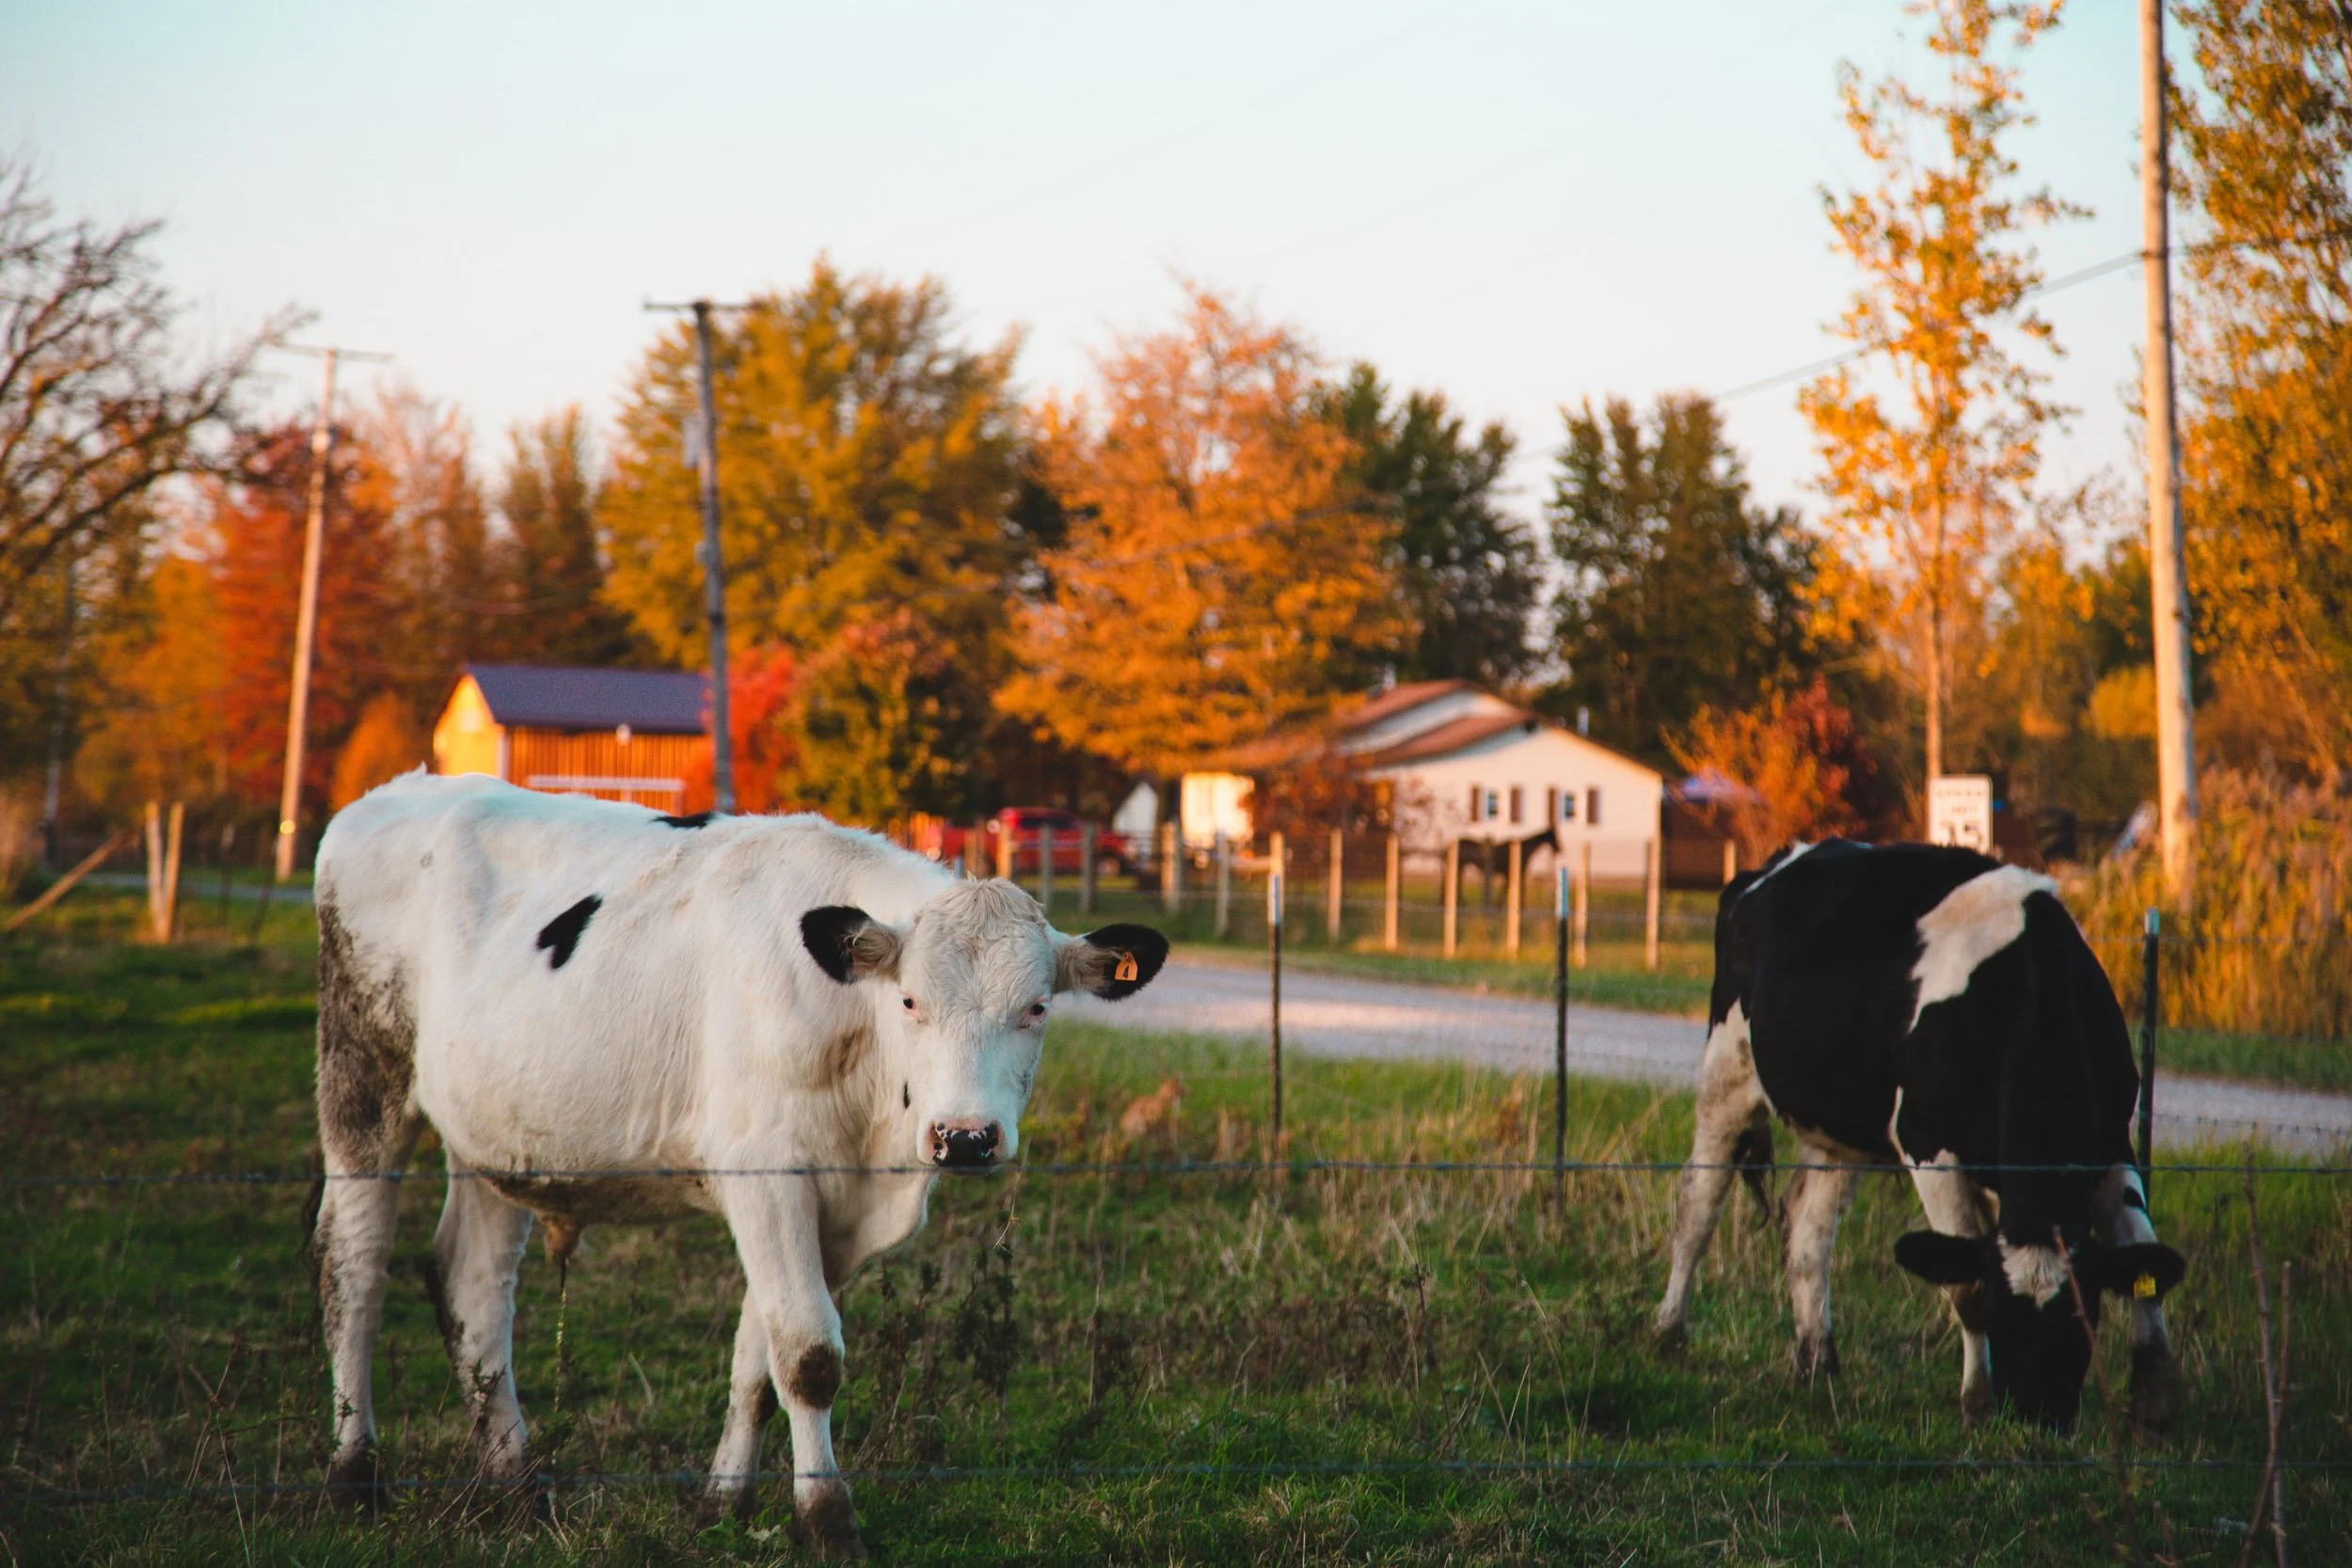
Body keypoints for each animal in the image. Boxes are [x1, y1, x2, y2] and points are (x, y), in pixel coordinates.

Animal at [307, 773, 1168, 1554]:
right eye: (911, 1001)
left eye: (1038, 1007)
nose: (964, 1137)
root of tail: (395, 792)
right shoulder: (766, 1177)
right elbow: (809, 1353)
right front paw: (827, 1519)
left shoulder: (834, 1210)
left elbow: (762, 1356)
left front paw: (725, 1501)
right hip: (361, 1076)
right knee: (354, 1263)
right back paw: (353, 1476)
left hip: (496, 1133)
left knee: (473, 1286)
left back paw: (517, 1484)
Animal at [1651, 839, 2186, 1433]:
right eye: (2002, 1315)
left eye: (2086, 1316)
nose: (2039, 1418)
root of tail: (1778, 861)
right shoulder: (1928, 1146)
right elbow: (1964, 1283)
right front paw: (1977, 1399)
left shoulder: (2113, 1139)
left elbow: (2142, 1251)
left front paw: (2156, 1403)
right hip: (1729, 1072)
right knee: (1698, 1204)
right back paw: (1669, 1333)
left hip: (1844, 1130)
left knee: (1809, 1229)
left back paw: (1817, 1360)